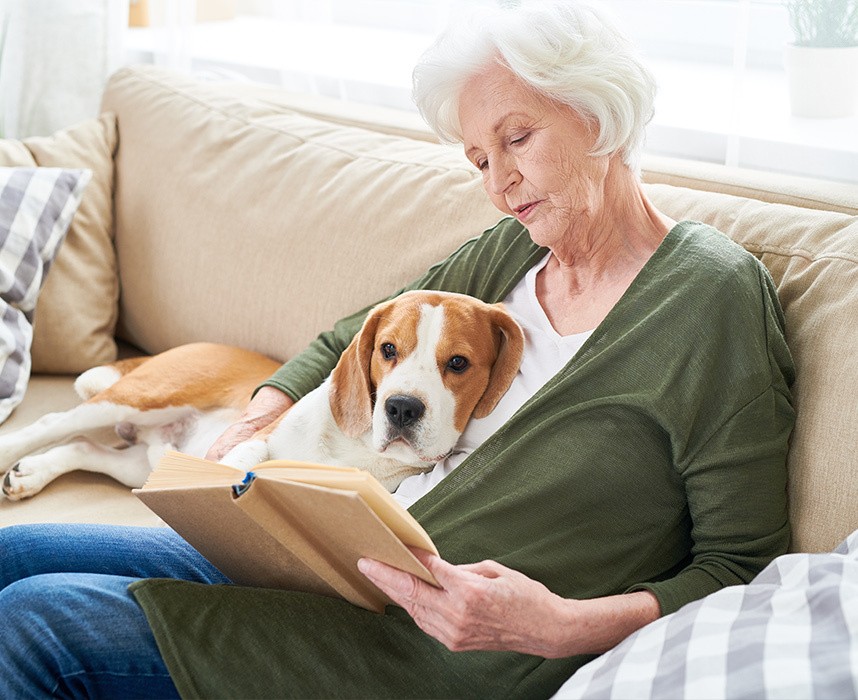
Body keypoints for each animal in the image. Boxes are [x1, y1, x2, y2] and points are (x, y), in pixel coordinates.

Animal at [0, 290, 524, 498]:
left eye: (457, 363)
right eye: (388, 350)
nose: (401, 407)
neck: (355, 448)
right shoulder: (258, 436)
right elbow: (245, 456)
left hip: (147, 460)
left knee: (82, 448)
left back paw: (31, 474)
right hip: (144, 395)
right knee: (54, 424)